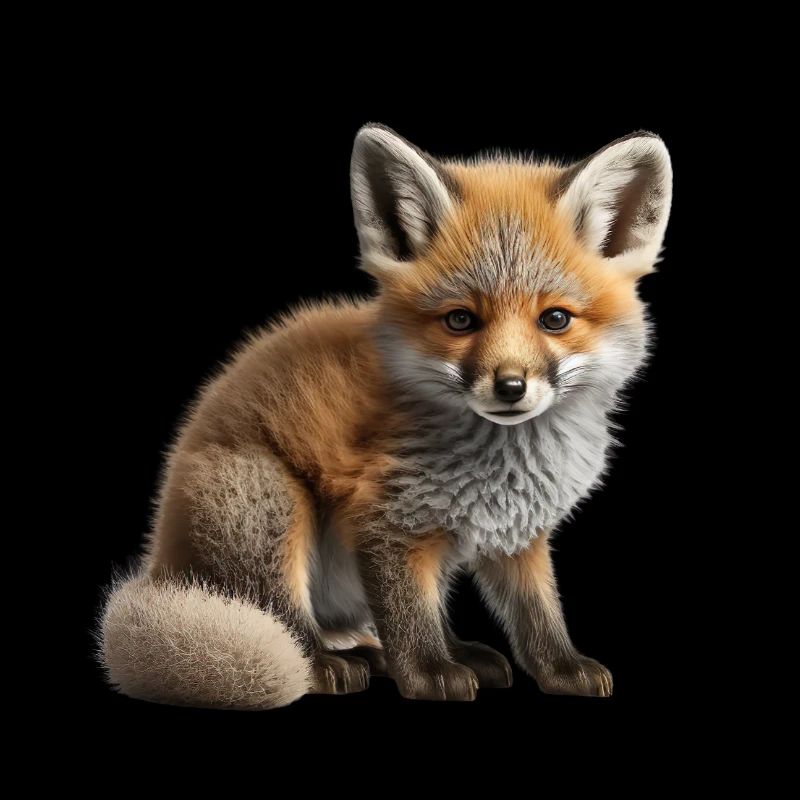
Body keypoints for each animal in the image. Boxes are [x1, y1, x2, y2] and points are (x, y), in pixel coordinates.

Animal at [99, 124, 672, 708]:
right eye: (460, 320)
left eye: (555, 319)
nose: (510, 386)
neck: (505, 466)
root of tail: (159, 562)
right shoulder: (385, 519)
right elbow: (408, 619)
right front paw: (428, 675)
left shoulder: (518, 534)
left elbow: (538, 615)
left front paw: (560, 669)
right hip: (271, 506)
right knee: (285, 619)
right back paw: (327, 664)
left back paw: (434, 653)